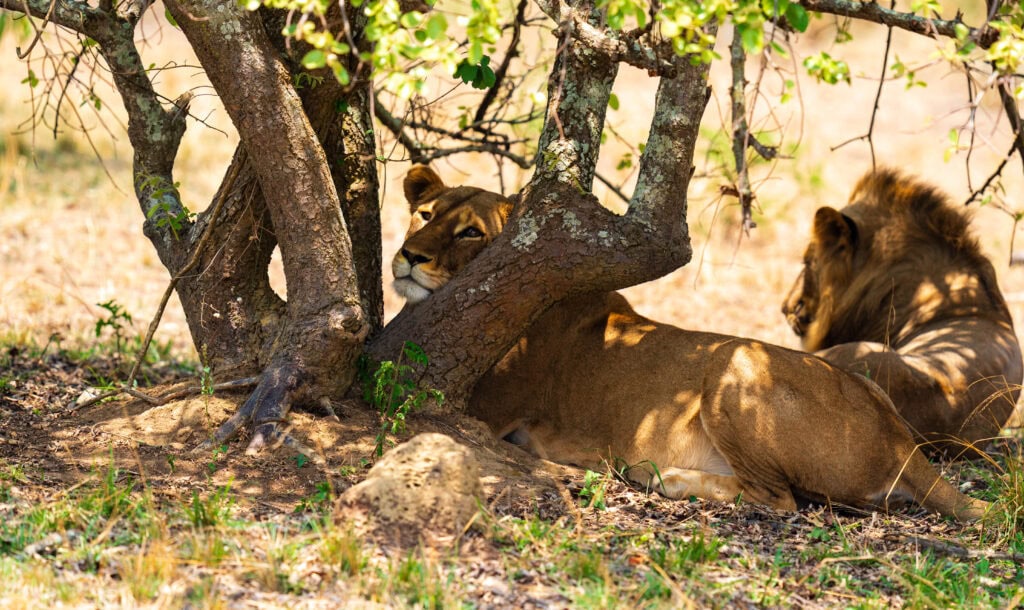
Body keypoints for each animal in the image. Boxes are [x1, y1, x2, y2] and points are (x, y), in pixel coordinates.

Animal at [392, 165, 989, 521]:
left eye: (471, 232)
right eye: (424, 215)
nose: (409, 256)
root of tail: (901, 440)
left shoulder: (488, 409)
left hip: (735, 366)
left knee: (781, 500)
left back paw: (664, 477)